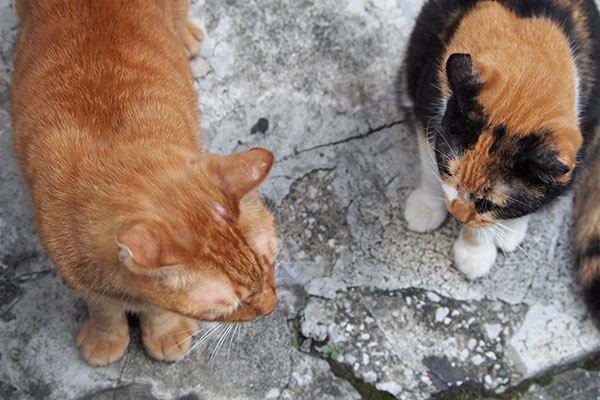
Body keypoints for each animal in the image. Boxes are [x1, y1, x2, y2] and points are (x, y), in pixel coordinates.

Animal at [11, 0, 278, 366]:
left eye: (271, 266)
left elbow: (158, 307)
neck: (113, 149)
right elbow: (103, 306)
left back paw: (187, 36)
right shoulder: (76, 273)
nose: (272, 307)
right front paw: (105, 336)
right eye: (235, 304)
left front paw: (164, 331)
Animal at [398, 0, 600, 290]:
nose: (456, 213)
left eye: (488, 202)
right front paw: (427, 208)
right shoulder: (429, 107)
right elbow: (429, 167)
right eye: (448, 172)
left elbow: (489, 219)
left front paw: (474, 252)